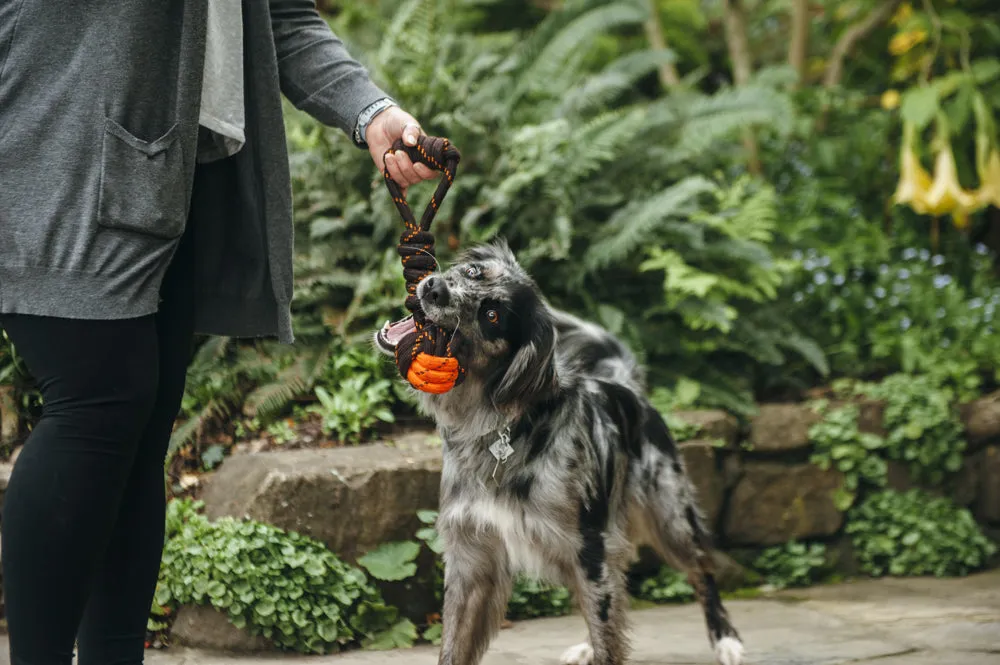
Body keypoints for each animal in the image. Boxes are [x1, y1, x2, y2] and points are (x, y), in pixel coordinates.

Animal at [374, 240, 744, 664]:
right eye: (472, 272)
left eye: (492, 315)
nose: (434, 288)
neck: (495, 428)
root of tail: (626, 385)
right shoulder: (471, 556)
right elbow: (453, 648)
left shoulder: (589, 549)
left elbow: (608, 632)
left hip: (670, 517)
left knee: (701, 573)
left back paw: (726, 639)